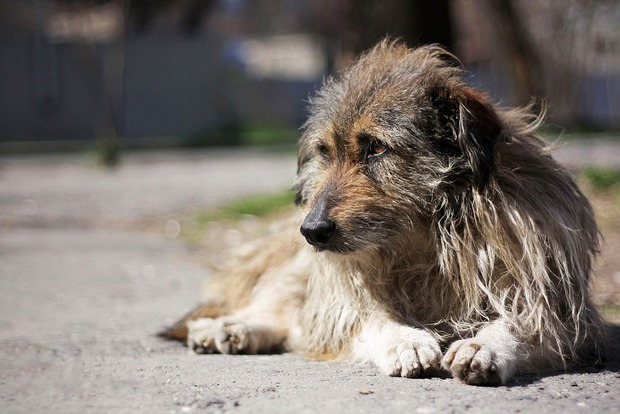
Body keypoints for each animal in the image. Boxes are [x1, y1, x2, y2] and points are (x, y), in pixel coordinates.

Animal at [161, 40, 604, 386]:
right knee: (281, 307)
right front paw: (405, 340)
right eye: (325, 151)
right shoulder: (343, 295)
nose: (312, 230)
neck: (427, 240)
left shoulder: (555, 305)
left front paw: (484, 345)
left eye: (376, 147)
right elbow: (365, 319)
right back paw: (225, 327)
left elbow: (523, 323)